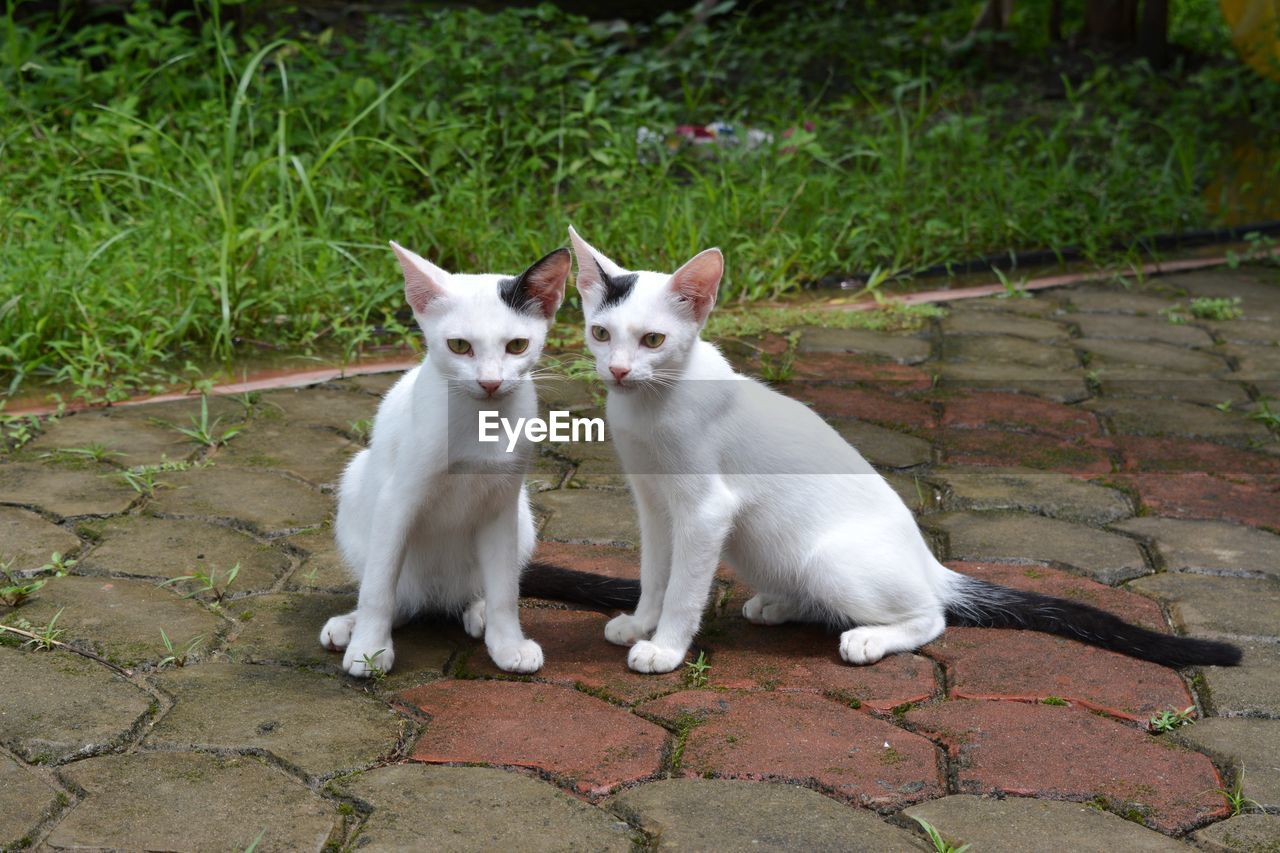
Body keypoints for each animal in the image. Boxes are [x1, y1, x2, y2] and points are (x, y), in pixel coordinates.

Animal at [320, 242, 640, 676]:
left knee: (481, 587)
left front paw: (508, 643)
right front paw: (368, 648)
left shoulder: (502, 504)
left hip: (521, 516)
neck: (480, 423)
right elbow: (378, 587)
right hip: (357, 483)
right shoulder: (396, 501)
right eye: (459, 345)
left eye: (517, 345)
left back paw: (480, 611)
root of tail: (438, 597)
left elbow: (505, 587)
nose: (490, 382)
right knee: (399, 596)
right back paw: (352, 625)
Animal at [568, 224, 1239, 671]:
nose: (620, 371)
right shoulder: (654, 505)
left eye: (654, 340)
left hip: (831, 559)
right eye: (600, 333)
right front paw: (641, 621)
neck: (651, 409)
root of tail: (929, 564)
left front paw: (666, 646)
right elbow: (656, 572)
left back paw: (869, 637)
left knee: (930, 618)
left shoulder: (705, 511)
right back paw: (782, 605)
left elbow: (685, 585)